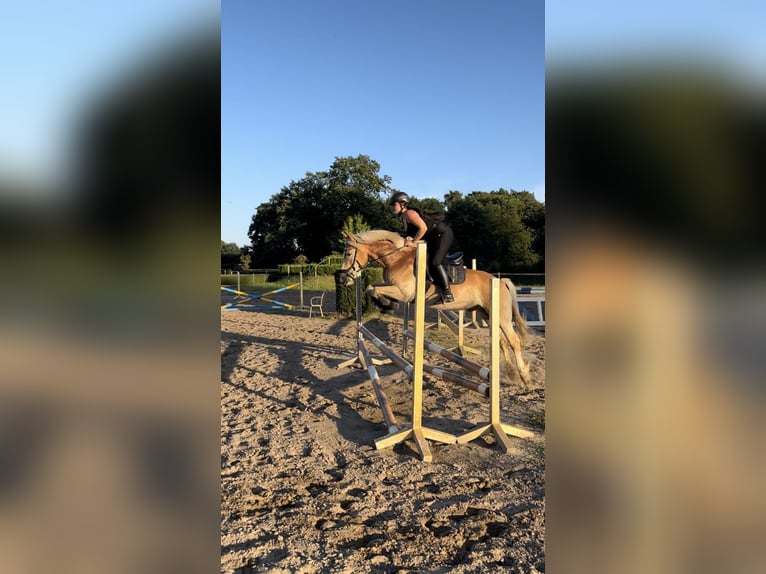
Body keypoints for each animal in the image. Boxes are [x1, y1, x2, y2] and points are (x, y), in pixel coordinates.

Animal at [340, 231, 532, 388]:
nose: (342, 279)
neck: (395, 259)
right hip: (488, 315)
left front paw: (387, 305)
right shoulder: (395, 289)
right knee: (501, 342)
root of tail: (500, 281)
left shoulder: (404, 293)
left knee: (514, 341)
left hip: (502, 318)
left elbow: (372, 288)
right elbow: (371, 287)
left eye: (348, 253)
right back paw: (509, 373)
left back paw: (524, 377)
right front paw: (386, 304)